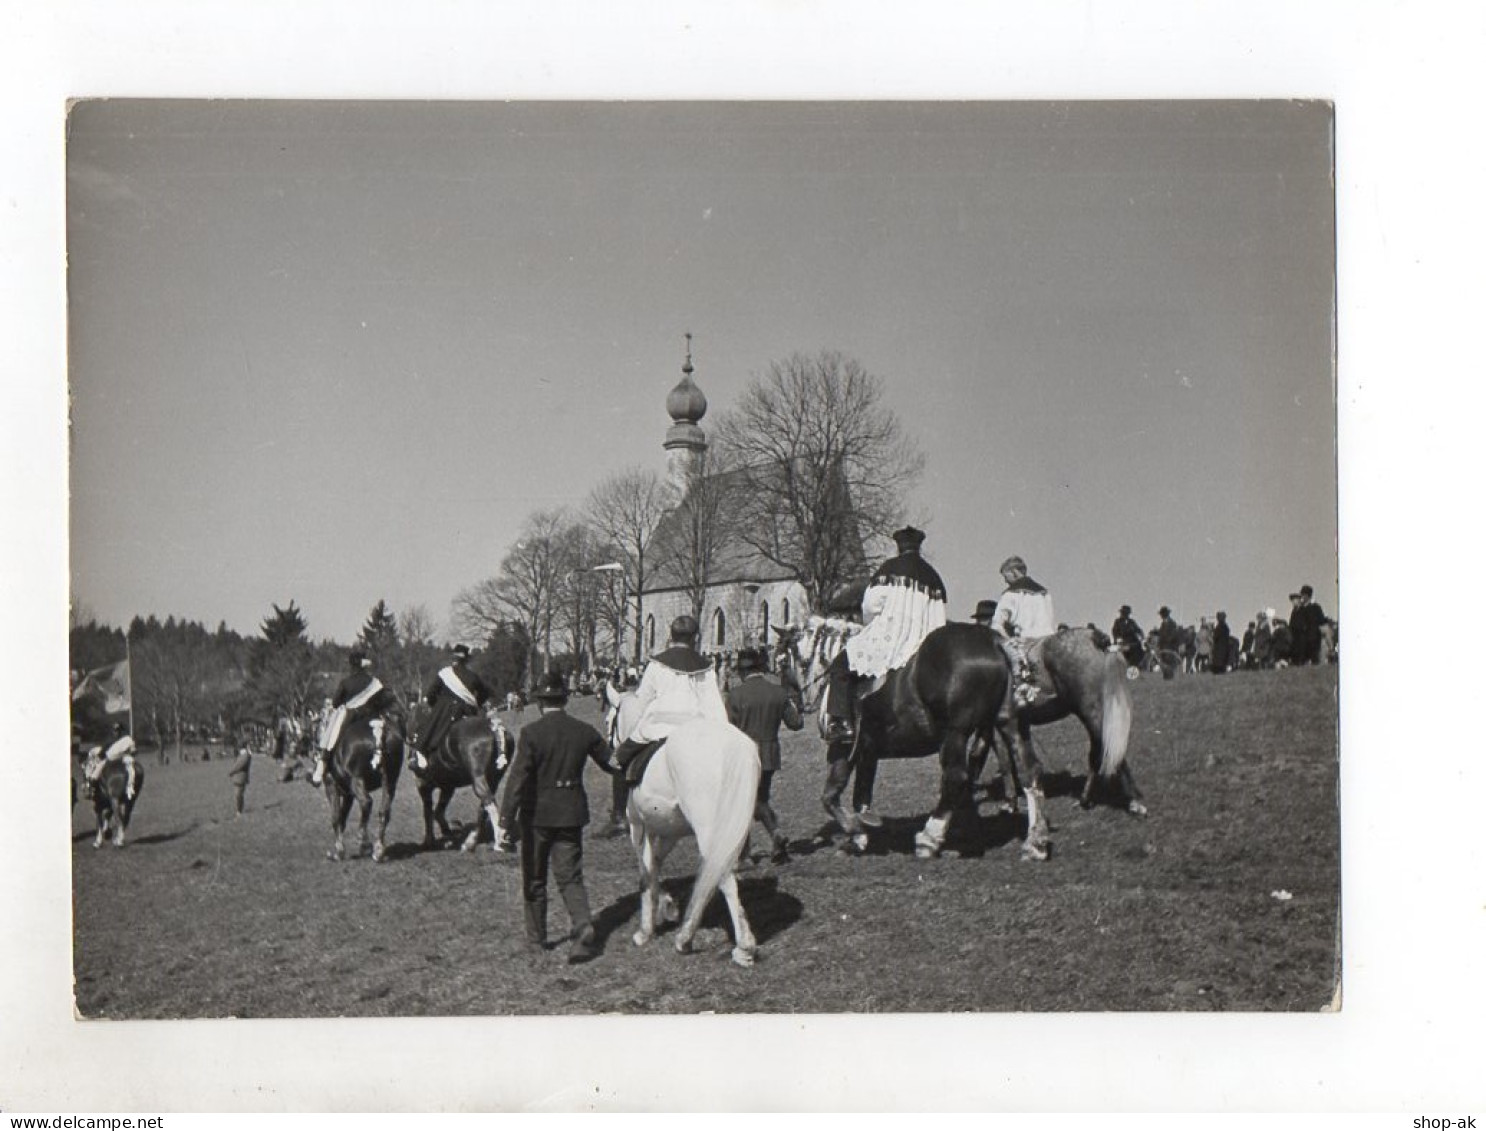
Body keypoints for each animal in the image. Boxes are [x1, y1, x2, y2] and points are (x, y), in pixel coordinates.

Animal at [609, 689, 760, 969]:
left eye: (609, 720)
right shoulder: (671, 832)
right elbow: (655, 864)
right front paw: (667, 903)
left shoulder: (638, 826)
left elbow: (645, 872)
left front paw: (645, 930)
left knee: (723, 876)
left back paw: (723, 944)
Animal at [778, 618, 1034, 856]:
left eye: (780, 662)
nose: (792, 715)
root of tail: (994, 641)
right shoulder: (867, 747)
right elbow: (859, 786)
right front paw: (862, 828)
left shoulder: (841, 747)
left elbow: (830, 796)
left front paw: (857, 834)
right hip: (1003, 723)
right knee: (1024, 769)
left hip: (955, 733)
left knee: (956, 778)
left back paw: (929, 838)